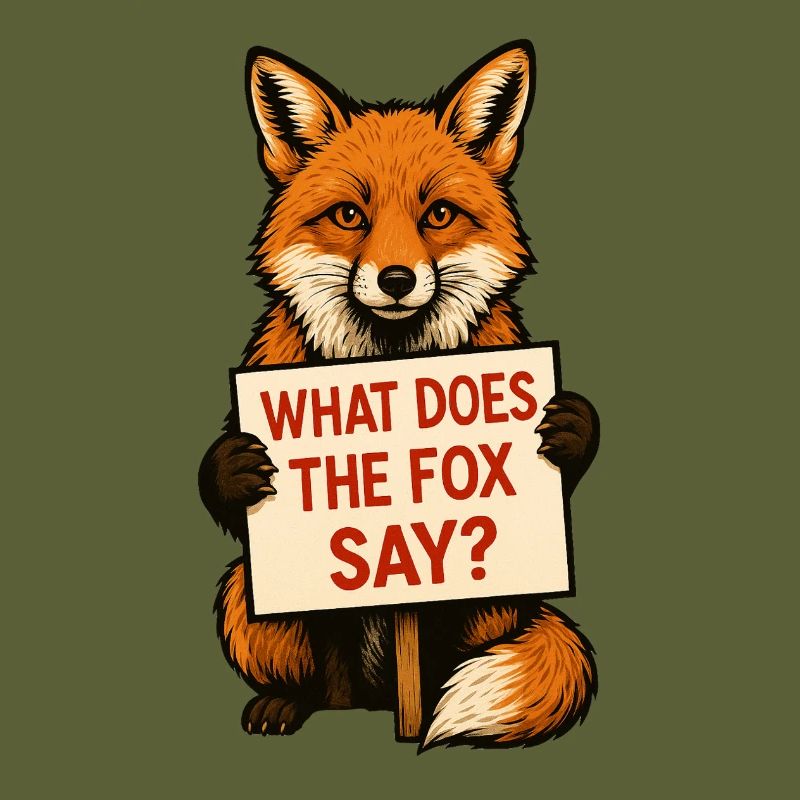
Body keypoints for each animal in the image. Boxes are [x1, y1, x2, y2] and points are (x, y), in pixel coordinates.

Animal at [199, 40, 600, 749]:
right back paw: (290, 704)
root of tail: (373, 698)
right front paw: (236, 464)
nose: (394, 279)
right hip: (245, 595)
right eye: (349, 216)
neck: (390, 366)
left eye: (437, 214)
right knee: (318, 680)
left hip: (492, 601)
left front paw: (568, 429)